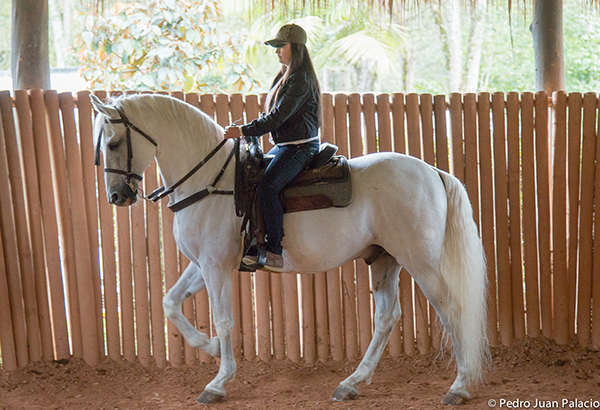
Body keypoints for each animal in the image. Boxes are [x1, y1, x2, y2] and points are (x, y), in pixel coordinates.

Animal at [91, 94, 490, 406]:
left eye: (113, 144)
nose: (117, 197)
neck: (212, 182)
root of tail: (433, 172)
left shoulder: (216, 266)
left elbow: (224, 320)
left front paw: (219, 381)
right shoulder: (203, 264)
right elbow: (171, 302)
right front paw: (209, 347)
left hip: (419, 261)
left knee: (451, 308)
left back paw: (459, 387)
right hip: (383, 259)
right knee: (386, 317)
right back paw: (351, 383)